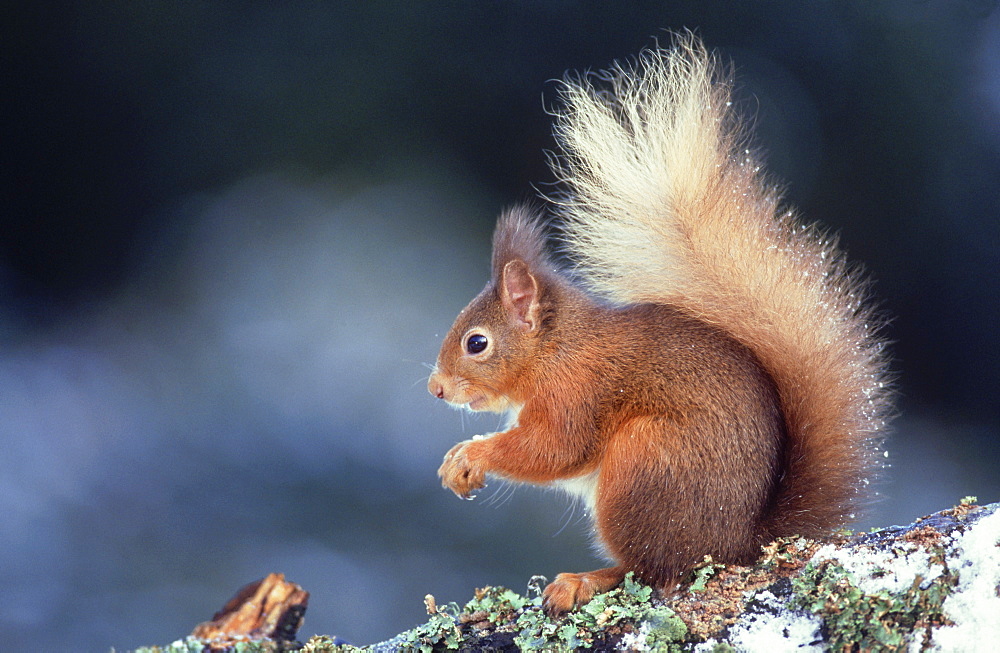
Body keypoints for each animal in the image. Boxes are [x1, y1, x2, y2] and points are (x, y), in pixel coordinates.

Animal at [426, 35, 896, 616]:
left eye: (477, 343)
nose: (435, 388)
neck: (555, 350)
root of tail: (736, 543)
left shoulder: (577, 390)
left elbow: (554, 449)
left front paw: (471, 455)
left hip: (644, 465)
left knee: (653, 570)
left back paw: (586, 580)